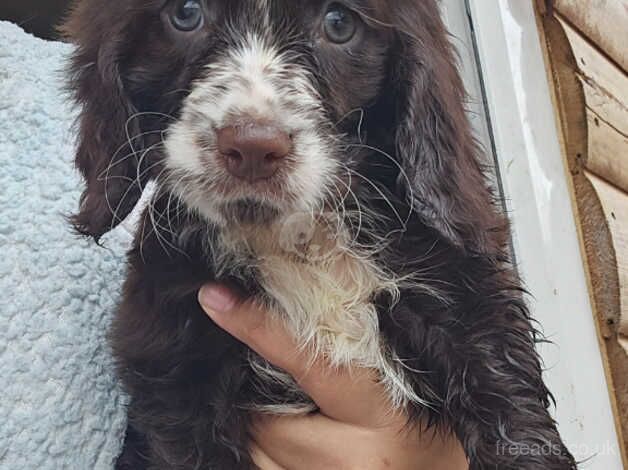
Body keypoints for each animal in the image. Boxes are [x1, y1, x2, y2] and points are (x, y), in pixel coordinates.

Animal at [63, 1, 580, 468]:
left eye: (338, 23)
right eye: (186, 14)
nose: (253, 146)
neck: (298, 237)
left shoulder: (467, 299)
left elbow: (510, 406)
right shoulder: (173, 365)